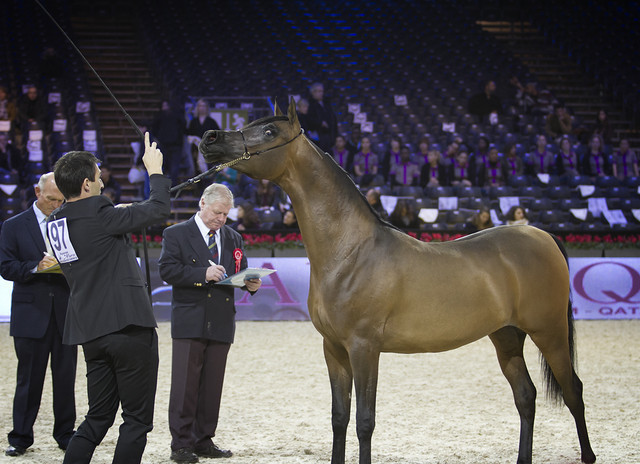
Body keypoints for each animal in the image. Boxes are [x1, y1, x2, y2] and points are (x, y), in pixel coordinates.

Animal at [198, 98, 596, 464]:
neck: (350, 251)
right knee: (526, 397)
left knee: (574, 390)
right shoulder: (334, 349)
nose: (210, 137)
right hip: (507, 337)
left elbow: (365, 421)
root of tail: (542, 235)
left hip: (549, 332)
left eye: (269, 131)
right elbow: (339, 418)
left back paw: (589, 454)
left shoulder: (364, 348)